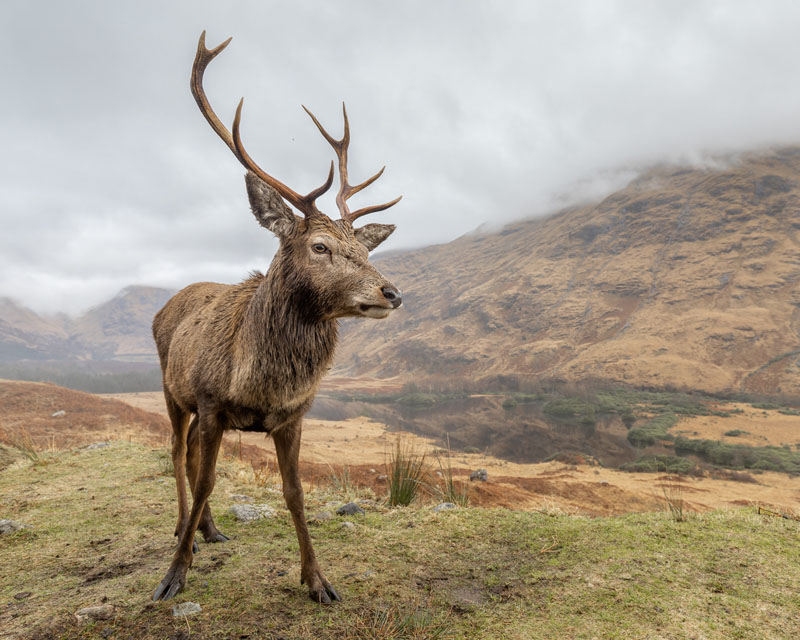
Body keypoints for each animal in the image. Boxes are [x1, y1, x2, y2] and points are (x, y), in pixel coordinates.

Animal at [151, 32, 402, 604]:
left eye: (364, 247)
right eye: (320, 246)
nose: (391, 292)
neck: (256, 381)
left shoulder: (293, 416)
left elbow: (295, 492)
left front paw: (318, 580)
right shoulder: (211, 402)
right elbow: (208, 479)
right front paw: (173, 575)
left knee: (189, 455)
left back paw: (209, 529)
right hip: (172, 389)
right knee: (176, 452)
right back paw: (183, 529)